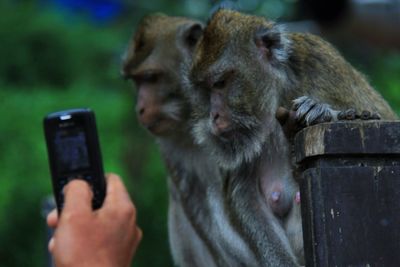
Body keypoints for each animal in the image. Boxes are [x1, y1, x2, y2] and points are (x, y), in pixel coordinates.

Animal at [186, 8, 398, 267]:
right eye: (205, 90)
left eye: (220, 83)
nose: (214, 115)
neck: (276, 97)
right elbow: (244, 197)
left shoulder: (322, 67)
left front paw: (328, 111)